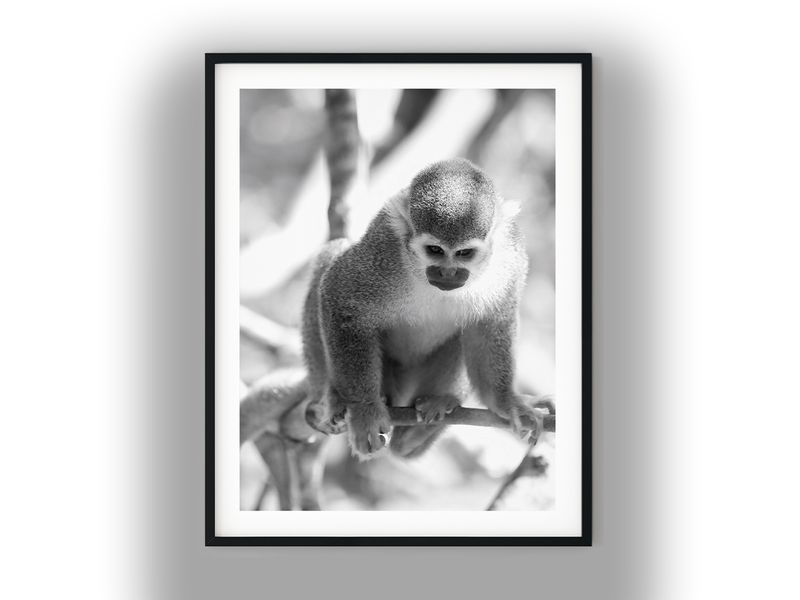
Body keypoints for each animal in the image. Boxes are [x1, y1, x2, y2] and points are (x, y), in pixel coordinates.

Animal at [303, 158, 537, 459]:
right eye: (435, 250)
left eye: (464, 253)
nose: (447, 273)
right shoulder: (384, 250)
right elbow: (340, 295)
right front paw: (365, 409)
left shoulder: (512, 256)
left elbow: (493, 322)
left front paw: (505, 401)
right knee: (333, 253)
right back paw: (331, 396)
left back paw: (433, 411)